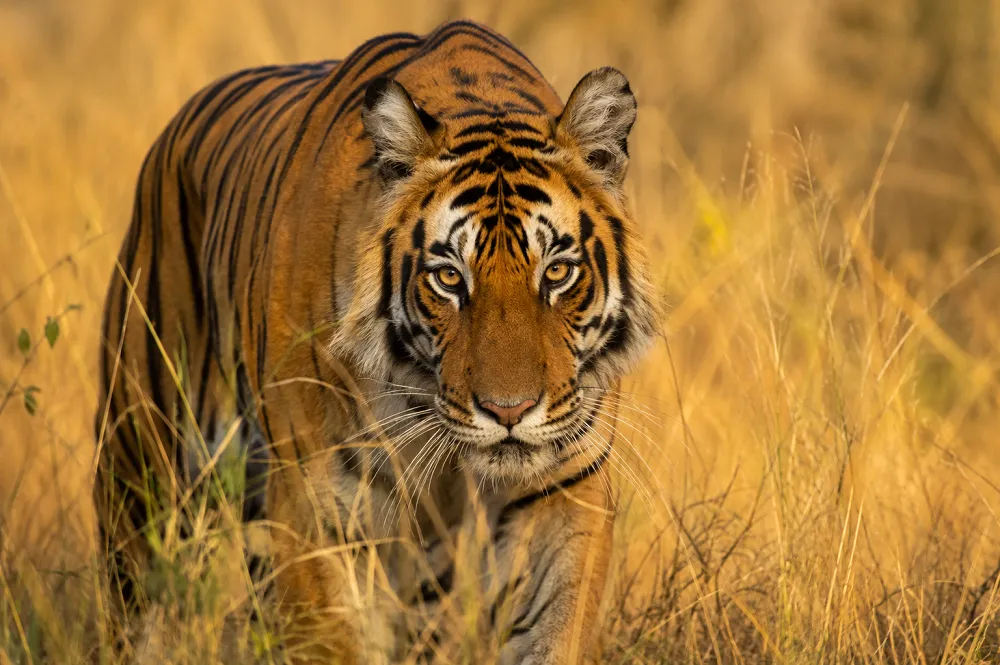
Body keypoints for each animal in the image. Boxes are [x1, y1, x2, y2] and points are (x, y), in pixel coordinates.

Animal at [94, 18, 657, 664]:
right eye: (449, 278)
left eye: (558, 272)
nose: (509, 412)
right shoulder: (315, 506)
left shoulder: (565, 489)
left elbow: (557, 629)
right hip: (141, 473)